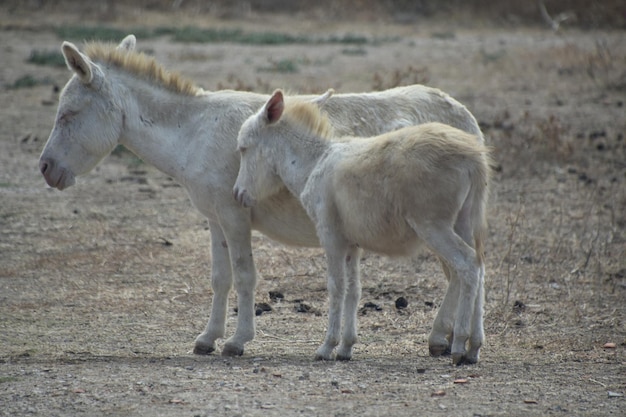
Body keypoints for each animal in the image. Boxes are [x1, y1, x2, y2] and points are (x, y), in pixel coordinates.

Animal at [232, 89, 490, 362]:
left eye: (244, 148)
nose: (237, 194)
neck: (315, 163)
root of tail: (473, 157)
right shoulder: (352, 244)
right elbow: (353, 291)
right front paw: (346, 347)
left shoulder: (331, 237)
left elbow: (336, 287)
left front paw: (327, 347)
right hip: (463, 222)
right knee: (479, 267)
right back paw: (474, 348)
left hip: (433, 227)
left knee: (467, 265)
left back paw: (460, 345)